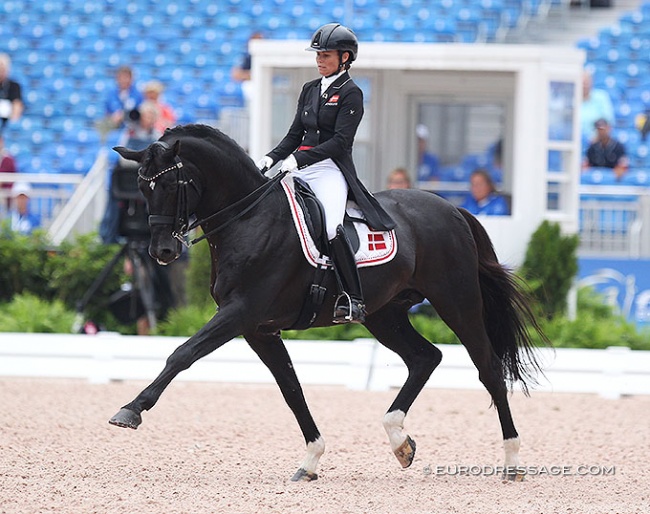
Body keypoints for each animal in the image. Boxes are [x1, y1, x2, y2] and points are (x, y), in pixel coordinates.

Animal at [109, 124, 544, 480]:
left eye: (171, 185)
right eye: (142, 189)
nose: (163, 251)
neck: (249, 218)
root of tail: (452, 208)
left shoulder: (240, 313)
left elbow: (182, 354)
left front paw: (131, 409)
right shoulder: (259, 329)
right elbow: (291, 388)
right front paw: (311, 461)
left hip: (457, 302)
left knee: (489, 369)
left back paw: (512, 462)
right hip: (384, 315)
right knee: (425, 358)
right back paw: (400, 441)